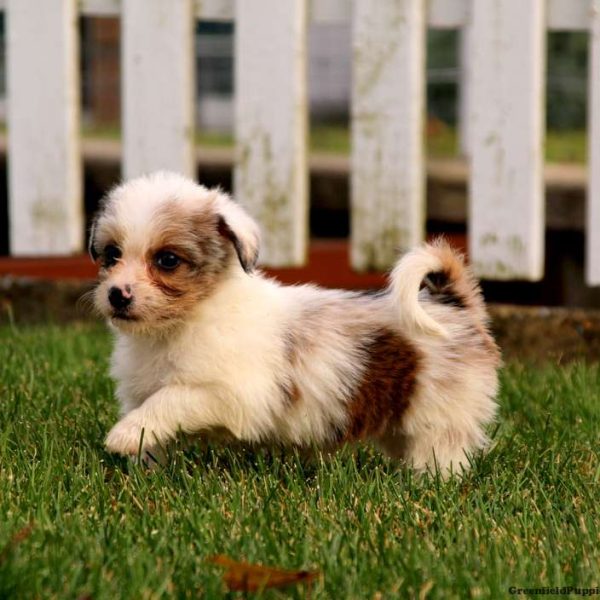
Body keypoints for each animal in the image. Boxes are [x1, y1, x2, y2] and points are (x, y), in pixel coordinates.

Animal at [89, 171, 500, 476]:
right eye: (112, 254)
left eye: (168, 260)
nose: (117, 295)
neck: (177, 326)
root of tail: (455, 304)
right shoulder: (140, 390)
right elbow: (153, 430)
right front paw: (145, 471)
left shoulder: (229, 394)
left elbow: (169, 401)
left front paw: (124, 434)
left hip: (441, 418)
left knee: (443, 453)